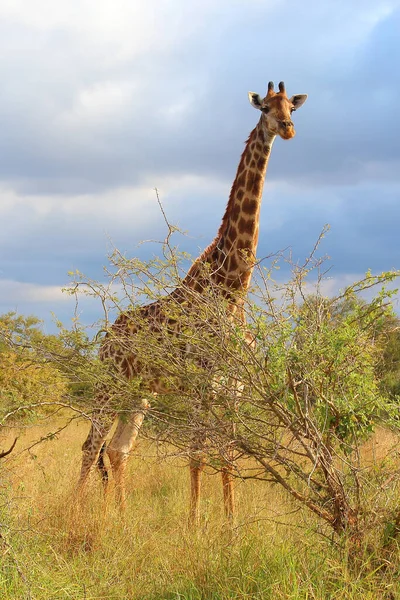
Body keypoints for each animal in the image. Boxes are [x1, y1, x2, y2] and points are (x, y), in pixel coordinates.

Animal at [77, 82, 306, 524]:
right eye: (265, 107)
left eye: (292, 106)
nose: (287, 128)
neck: (233, 289)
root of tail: (106, 340)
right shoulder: (203, 381)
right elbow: (198, 452)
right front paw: (194, 525)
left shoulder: (232, 387)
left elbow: (228, 453)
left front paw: (231, 526)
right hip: (109, 385)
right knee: (90, 446)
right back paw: (71, 513)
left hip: (139, 393)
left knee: (117, 449)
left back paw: (123, 519)